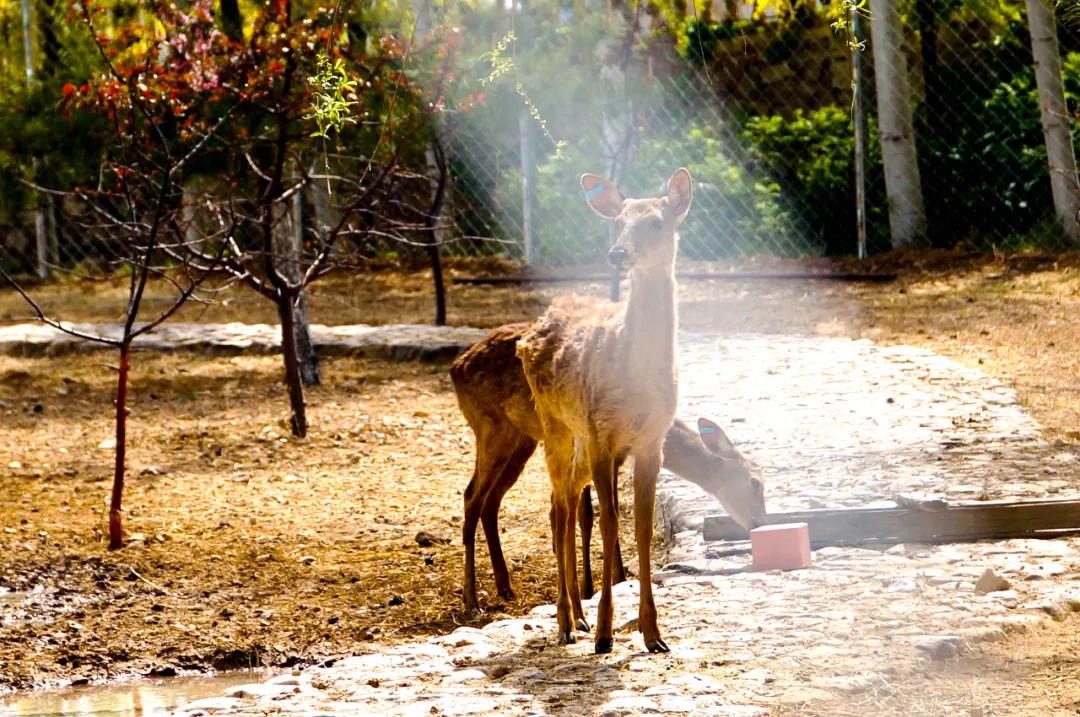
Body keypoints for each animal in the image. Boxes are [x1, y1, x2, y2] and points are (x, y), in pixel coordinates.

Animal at [451, 321, 766, 618]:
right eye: (755, 482)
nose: (759, 523)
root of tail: (456, 368)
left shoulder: (618, 456)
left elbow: (598, 512)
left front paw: (615, 577)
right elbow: (588, 514)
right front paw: (594, 585)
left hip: (521, 439)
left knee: (491, 501)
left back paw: (505, 587)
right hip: (492, 428)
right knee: (471, 496)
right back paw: (471, 600)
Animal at [515, 168, 692, 654]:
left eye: (656, 222)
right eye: (619, 223)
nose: (618, 253)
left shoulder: (651, 439)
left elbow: (642, 528)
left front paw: (654, 634)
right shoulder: (602, 433)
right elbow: (612, 524)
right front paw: (606, 633)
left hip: (577, 434)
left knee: (564, 500)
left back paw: (576, 614)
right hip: (555, 421)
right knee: (559, 507)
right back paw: (566, 622)